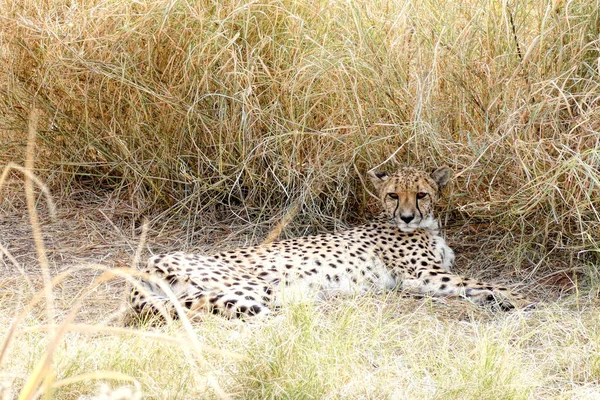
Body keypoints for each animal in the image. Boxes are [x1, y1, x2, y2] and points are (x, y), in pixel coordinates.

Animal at [129, 165, 528, 318]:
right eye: (393, 195)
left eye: (422, 195)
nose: (406, 217)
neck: (427, 226)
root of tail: (150, 262)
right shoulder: (424, 275)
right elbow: (484, 283)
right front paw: (520, 298)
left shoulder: (431, 277)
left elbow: (474, 286)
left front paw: (501, 301)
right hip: (253, 290)